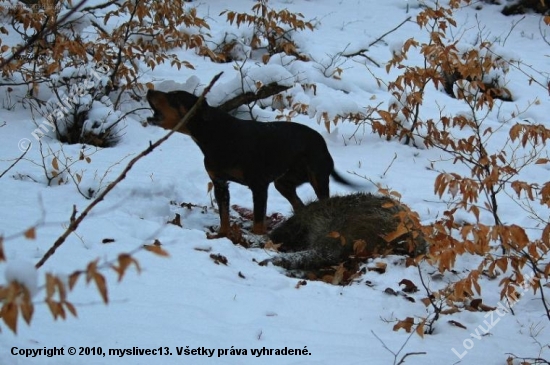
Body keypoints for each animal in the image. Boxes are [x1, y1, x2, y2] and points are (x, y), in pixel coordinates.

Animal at [147, 89, 354, 235]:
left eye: (174, 97)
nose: (149, 90)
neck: (215, 134)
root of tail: (321, 142)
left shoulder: (259, 185)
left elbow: (258, 220)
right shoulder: (220, 183)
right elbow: (224, 215)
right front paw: (223, 235)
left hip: (317, 178)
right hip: (283, 183)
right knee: (299, 205)